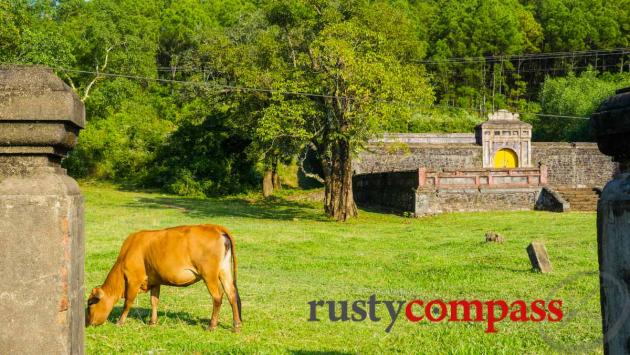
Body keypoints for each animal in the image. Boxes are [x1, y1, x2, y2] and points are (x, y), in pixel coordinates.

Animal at [84, 224, 242, 332]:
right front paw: (152, 322)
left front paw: (120, 322)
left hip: (209, 274)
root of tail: (214, 227)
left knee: (218, 297)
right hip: (224, 271)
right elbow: (154, 301)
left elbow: (128, 302)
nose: (87, 323)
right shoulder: (154, 280)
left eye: (90, 303)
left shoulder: (134, 279)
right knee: (232, 294)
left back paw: (212, 326)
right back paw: (236, 325)